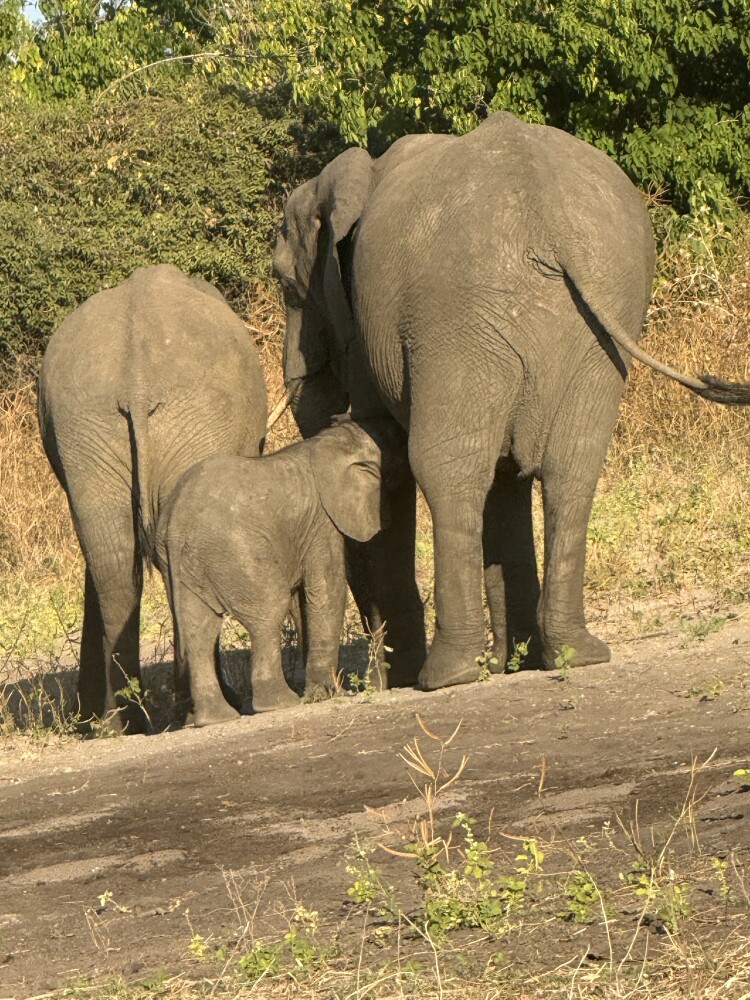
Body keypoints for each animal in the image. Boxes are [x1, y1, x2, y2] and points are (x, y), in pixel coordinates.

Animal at [37, 264, 268, 733]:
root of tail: (136, 382)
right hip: (196, 419)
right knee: (172, 553)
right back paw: (194, 709)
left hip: (86, 427)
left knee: (113, 562)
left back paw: (120, 722)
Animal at [153, 417, 402, 727]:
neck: (333, 441)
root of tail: (175, 523)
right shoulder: (321, 520)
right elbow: (326, 589)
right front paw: (329, 694)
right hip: (235, 550)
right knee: (270, 608)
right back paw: (279, 703)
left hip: (184, 564)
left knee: (200, 630)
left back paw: (216, 718)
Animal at [273, 110, 750, 692]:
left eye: (285, 285)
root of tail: (548, 216)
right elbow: (507, 478)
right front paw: (514, 661)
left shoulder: (365, 329)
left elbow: (393, 455)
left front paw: (414, 675)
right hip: (597, 320)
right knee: (572, 465)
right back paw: (571, 654)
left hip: (456, 318)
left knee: (448, 466)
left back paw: (447, 675)